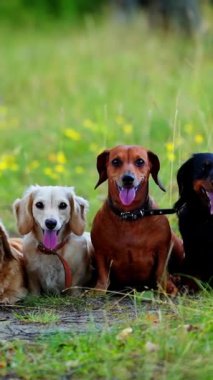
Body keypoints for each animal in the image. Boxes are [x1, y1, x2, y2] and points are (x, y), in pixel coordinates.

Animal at [90, 144, 184, 296]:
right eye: (116, 161)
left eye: (140, 161)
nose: (128, 178)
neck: (130, 216)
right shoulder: (100, 251)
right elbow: (103, 274)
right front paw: (99, 289)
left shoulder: (162, 250)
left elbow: (161, 271)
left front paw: (167, 288)